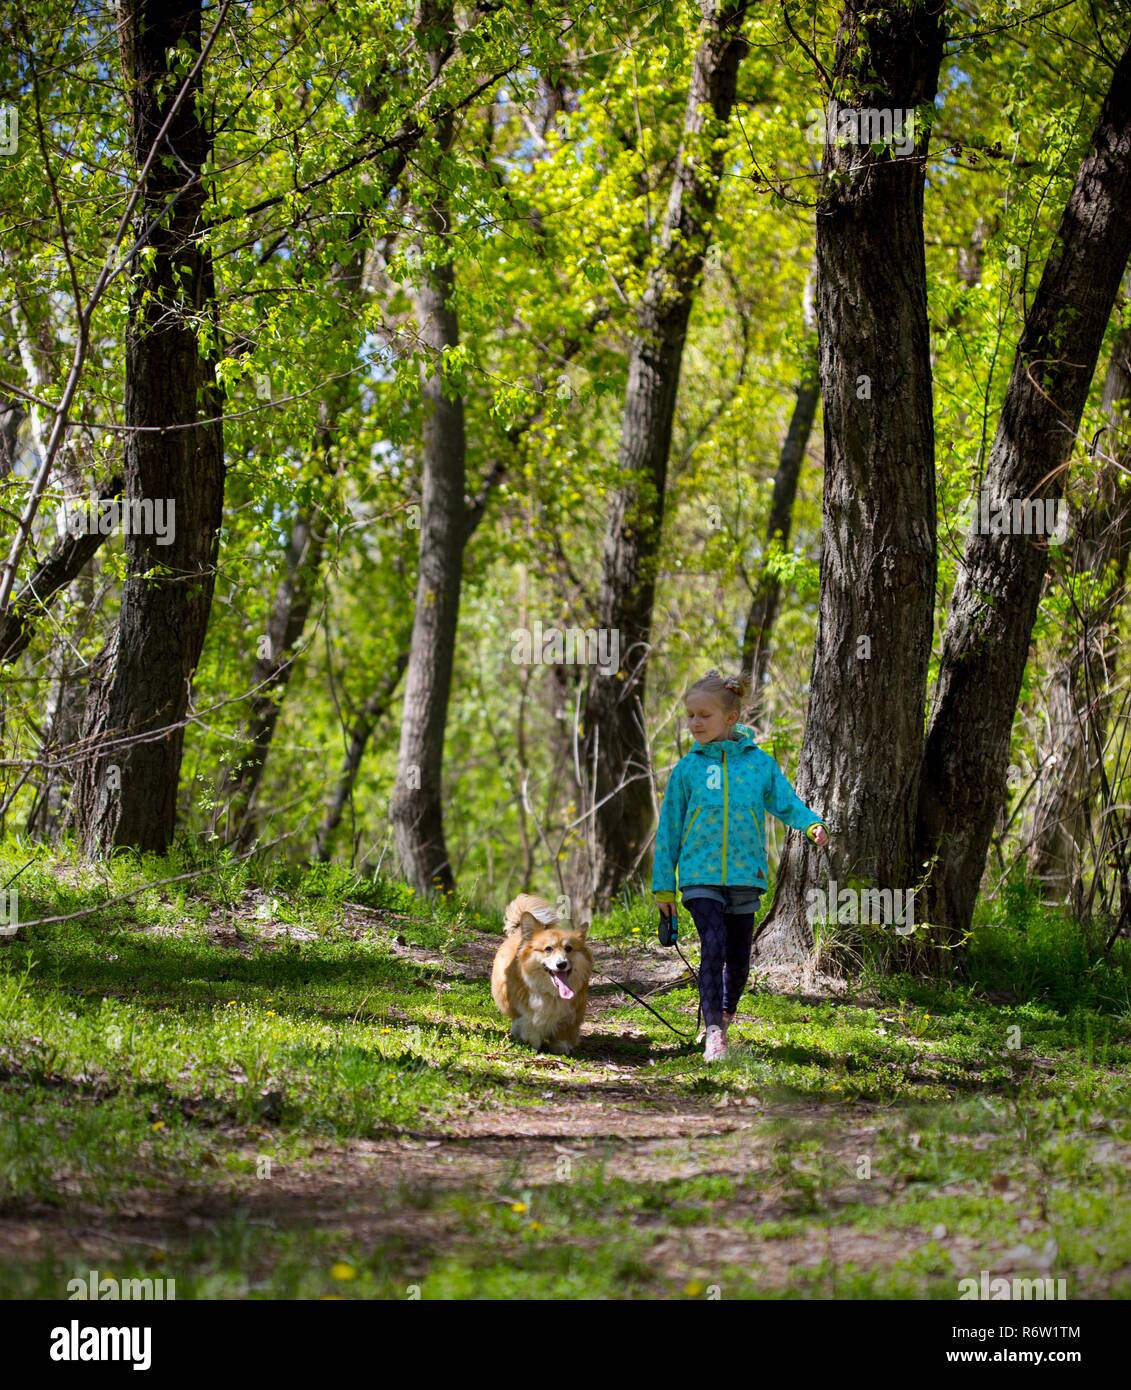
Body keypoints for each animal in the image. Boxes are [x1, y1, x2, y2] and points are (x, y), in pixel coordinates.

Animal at [494, 889, 597, 1050]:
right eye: (548, 949)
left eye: (568, 948)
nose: (561, 964)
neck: (552, 994)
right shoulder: (523, 1014)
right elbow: (529, 1027)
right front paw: (534, 1044)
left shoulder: (570, 1015)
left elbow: (562, 1034)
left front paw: (562, 1048)